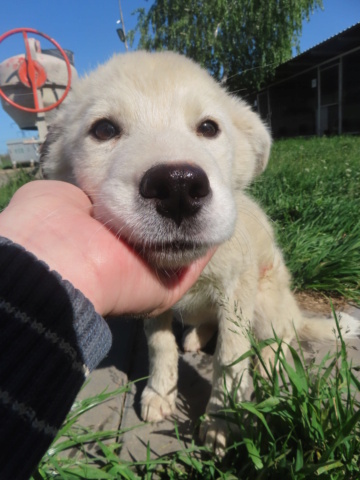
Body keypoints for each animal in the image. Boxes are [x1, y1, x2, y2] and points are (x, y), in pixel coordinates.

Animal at [41, 50, 358, 456]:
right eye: (104, 130)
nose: (178, 188)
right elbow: (160, 345)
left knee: (280, 340)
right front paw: (160, 393)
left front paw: (223, 419)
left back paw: (273, 371)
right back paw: (195, 337)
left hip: (267, 299)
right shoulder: (156, 306)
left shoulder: (237, 292)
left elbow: (230, 359)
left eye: (208, 127)